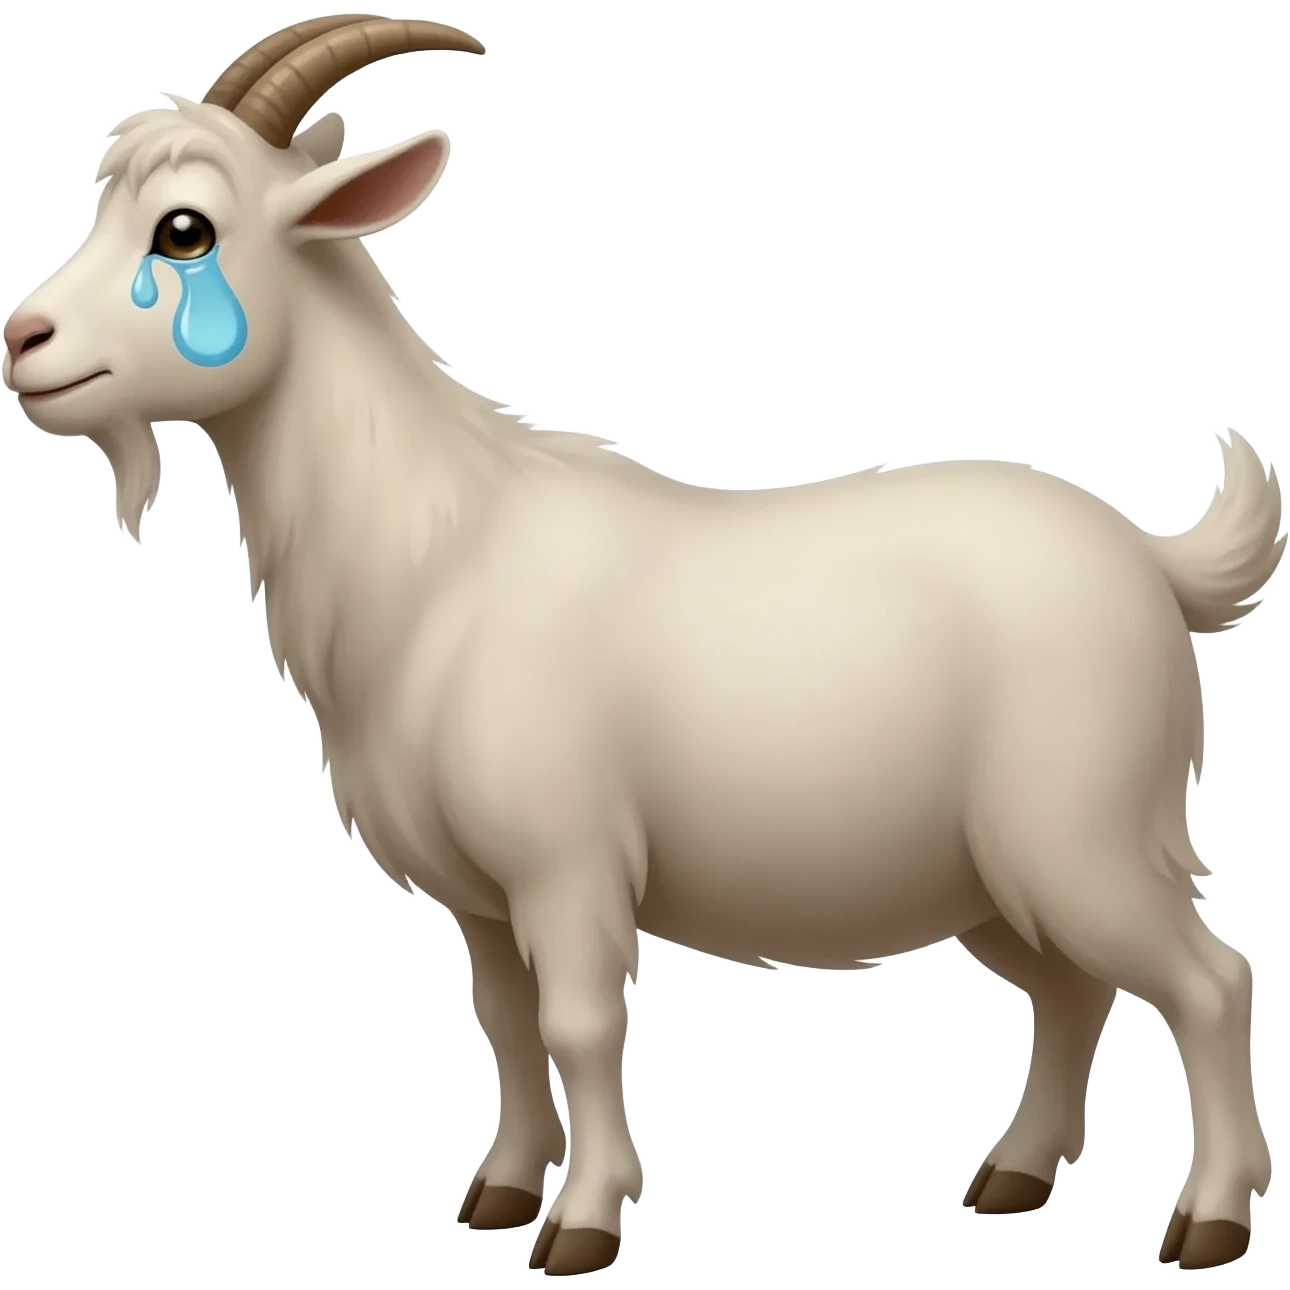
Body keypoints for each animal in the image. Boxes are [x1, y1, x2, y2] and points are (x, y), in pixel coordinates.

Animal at [2, 13, 1283, 1277]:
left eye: (185, 228)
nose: (23, 339)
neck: (439, 548)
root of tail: (1152, 562)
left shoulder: (565, 858)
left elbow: (578, 1024)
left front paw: (583, 1222)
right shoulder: (482, 896)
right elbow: (503, 1023)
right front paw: (499, 1192)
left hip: (1080, 829)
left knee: (1209, 982)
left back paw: (1210, 1219)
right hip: (992, 874)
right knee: (1075, 991)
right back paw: (1016, 1175)